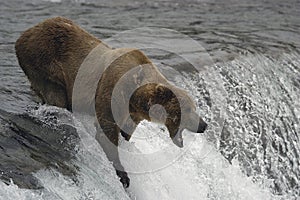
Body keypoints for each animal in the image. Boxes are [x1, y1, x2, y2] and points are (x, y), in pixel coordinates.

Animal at [15, 16, 207, 188]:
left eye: (194, 107)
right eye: (188, 109)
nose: (203, 125)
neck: (136, 95)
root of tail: (24, 34)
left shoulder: (132, 112)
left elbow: (126, 130)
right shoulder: (113, 92)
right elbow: (106, 131)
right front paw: (124, 175)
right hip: (43, 61)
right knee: (55, 93)